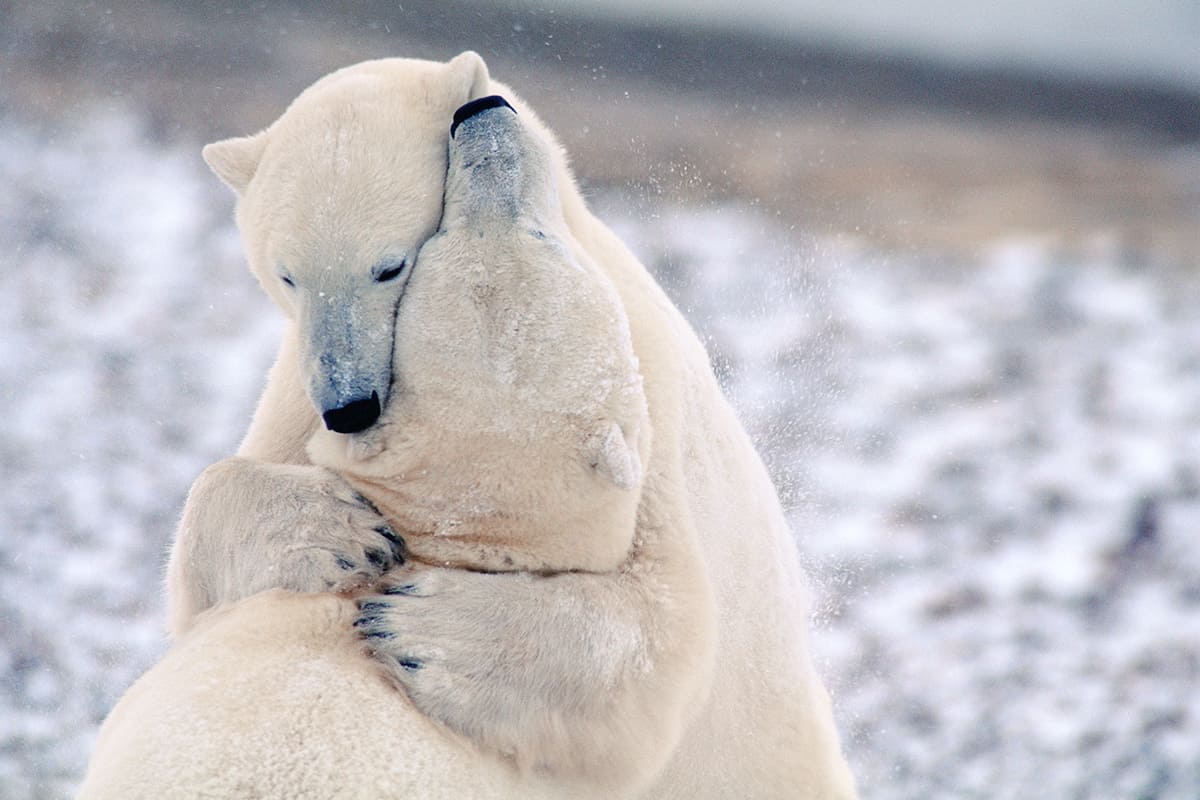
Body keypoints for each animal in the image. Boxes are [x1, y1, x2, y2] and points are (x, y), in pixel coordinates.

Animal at [79, 53, 859, 796]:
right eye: (287, 275)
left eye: (391, 265)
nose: (349, 404)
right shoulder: (295, 393)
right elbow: (208, 555)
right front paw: (336, 533)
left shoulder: (653, 419)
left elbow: (663, 628)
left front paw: (423, 627)